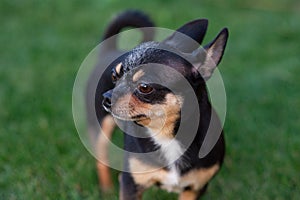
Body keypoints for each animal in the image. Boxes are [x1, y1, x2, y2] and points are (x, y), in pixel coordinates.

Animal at [85, 10, 229, 198]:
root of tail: (110, 49)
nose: (107, 97)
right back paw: (106, 190)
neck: (166, 136)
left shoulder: (194, 189)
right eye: (114, 76)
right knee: (101, 158)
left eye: (144, 87)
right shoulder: (130, 184)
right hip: (102, 127)